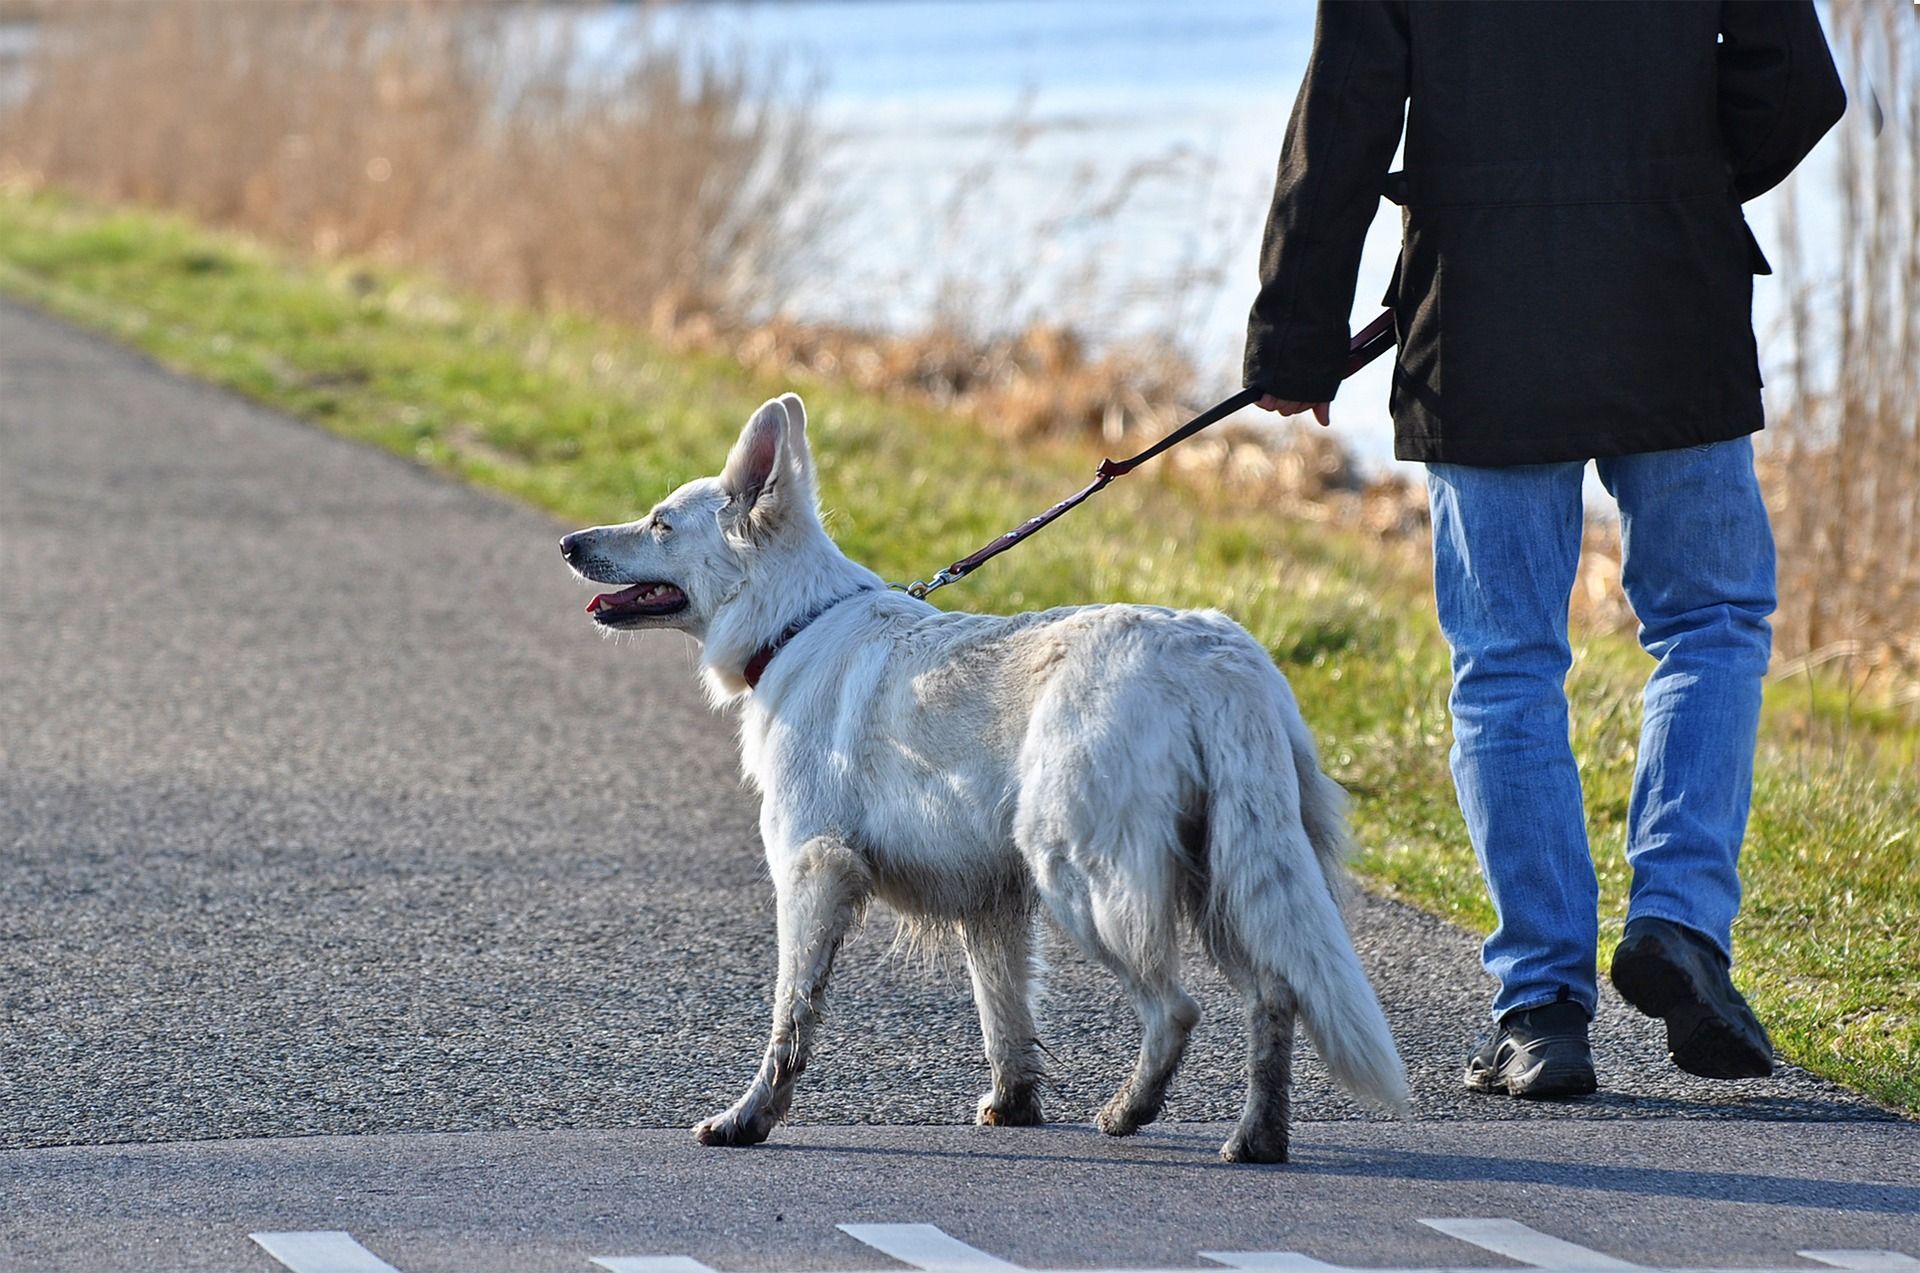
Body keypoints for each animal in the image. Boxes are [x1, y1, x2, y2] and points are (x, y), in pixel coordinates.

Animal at [560, 393, 1413, 1159]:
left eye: (660, 523)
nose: (568, 541)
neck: (794, 622)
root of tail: (1217, 658)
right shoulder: (991, 904)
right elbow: (1005, 1017)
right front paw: (1014, 1105)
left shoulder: (813, 872)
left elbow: (790, 1019)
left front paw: (749, 1118)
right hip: (1227, 878)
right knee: (1274, 996)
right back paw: (1257, 1137)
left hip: (1085, 879)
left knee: (1177, 1008)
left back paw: (1129, 1111)